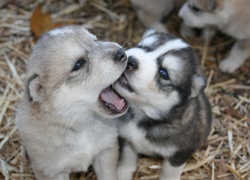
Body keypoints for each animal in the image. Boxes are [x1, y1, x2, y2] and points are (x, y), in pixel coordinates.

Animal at [15, 25, 129, 180]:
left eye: (95, 40)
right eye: (78, 64)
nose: (121, 52)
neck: (82, 125)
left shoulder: (106, 151)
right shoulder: (53, 172)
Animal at [114, 29, 212, 180]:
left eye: (163, 73)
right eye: (142, 46)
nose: (130, 60)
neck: (143, 115)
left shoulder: (180, 153)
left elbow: (169, 172)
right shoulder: (126, 138)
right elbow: (127, 159)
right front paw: (122, 174)